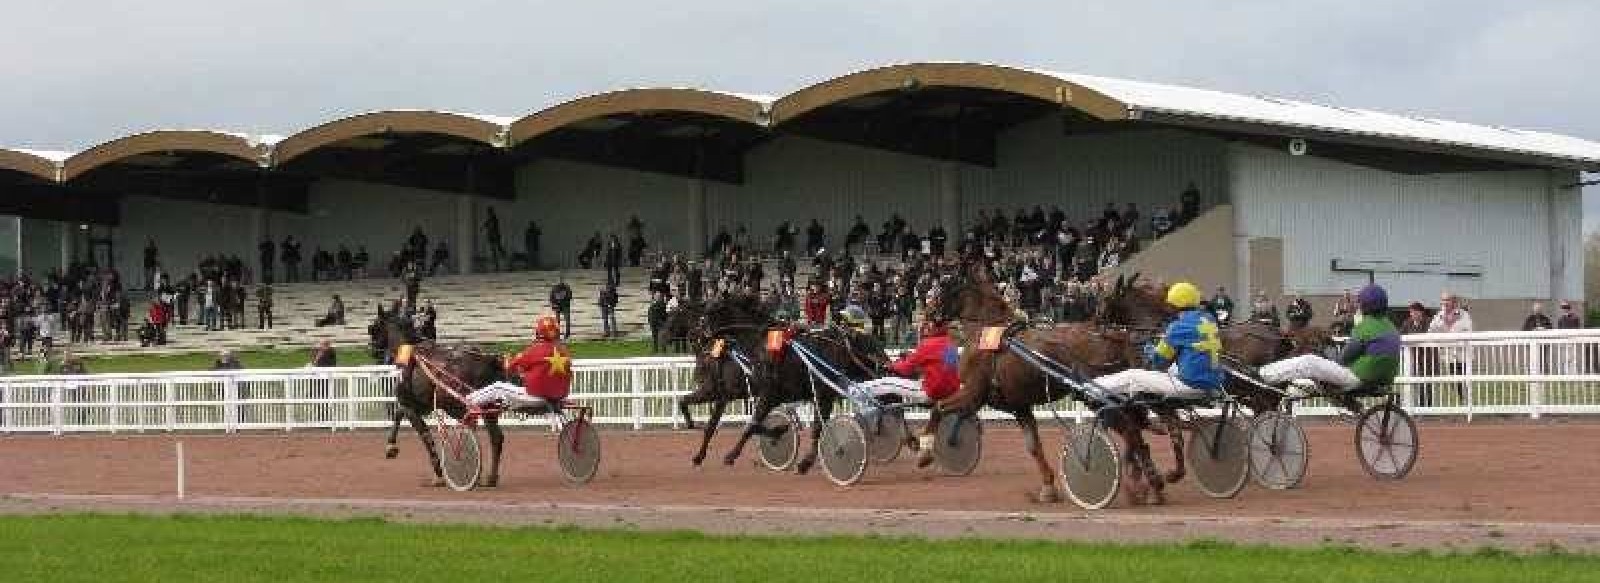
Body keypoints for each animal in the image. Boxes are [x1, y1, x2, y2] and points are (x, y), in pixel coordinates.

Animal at [366, 309, 505, 486]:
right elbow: (398, 413)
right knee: (496, 437)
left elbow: (424, 435)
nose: (372, 348)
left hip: (458, 404)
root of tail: (485, 359)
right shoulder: (419, 405)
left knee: (474, 431)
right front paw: (391, 447)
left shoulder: (411, 406)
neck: (411, 354)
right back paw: (491, 477)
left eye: (373, 327)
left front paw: (438, 473)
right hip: (487, 406)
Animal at [928, 262, 1139, 502]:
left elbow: (939, 407)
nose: (929, 313)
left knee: (1130, 430)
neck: (988, 332)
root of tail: (1115, 335)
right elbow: (1033, 446)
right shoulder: (1019, 406)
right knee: (1135, 429)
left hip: (1097, 396)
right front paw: (1048, 486)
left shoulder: (973, 394)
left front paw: (926, 449)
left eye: (943, 283)